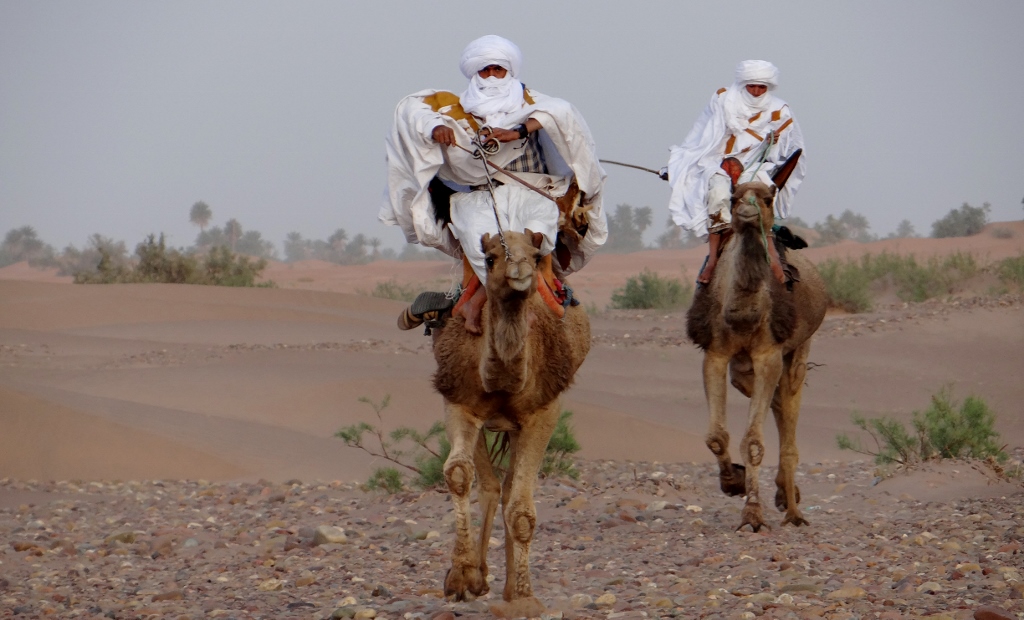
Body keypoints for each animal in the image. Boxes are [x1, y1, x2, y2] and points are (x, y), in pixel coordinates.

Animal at [430, 229, 590, 611]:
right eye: (489, 258)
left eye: (535, 256)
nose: (520, 269)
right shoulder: (458, 402)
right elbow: (458, 474)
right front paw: (461, 577)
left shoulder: (542, 414)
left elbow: (521, 510)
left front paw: (523, 592)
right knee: (490, 486)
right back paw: (481, 577)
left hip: (517, 428)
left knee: (506, 492)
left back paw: (505, 587)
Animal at [686, 182, 828, 532]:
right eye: (734, 197)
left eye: (768, 198)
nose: (747, 212)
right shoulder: (716, 354)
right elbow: (716, 437)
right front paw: (732, 483)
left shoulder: (769, 355)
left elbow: (752, 442)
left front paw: (752, 514)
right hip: (742, 368)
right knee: (774, 401)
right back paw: (783, 494)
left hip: (799, 348)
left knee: (789, 400)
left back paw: (793, 511)